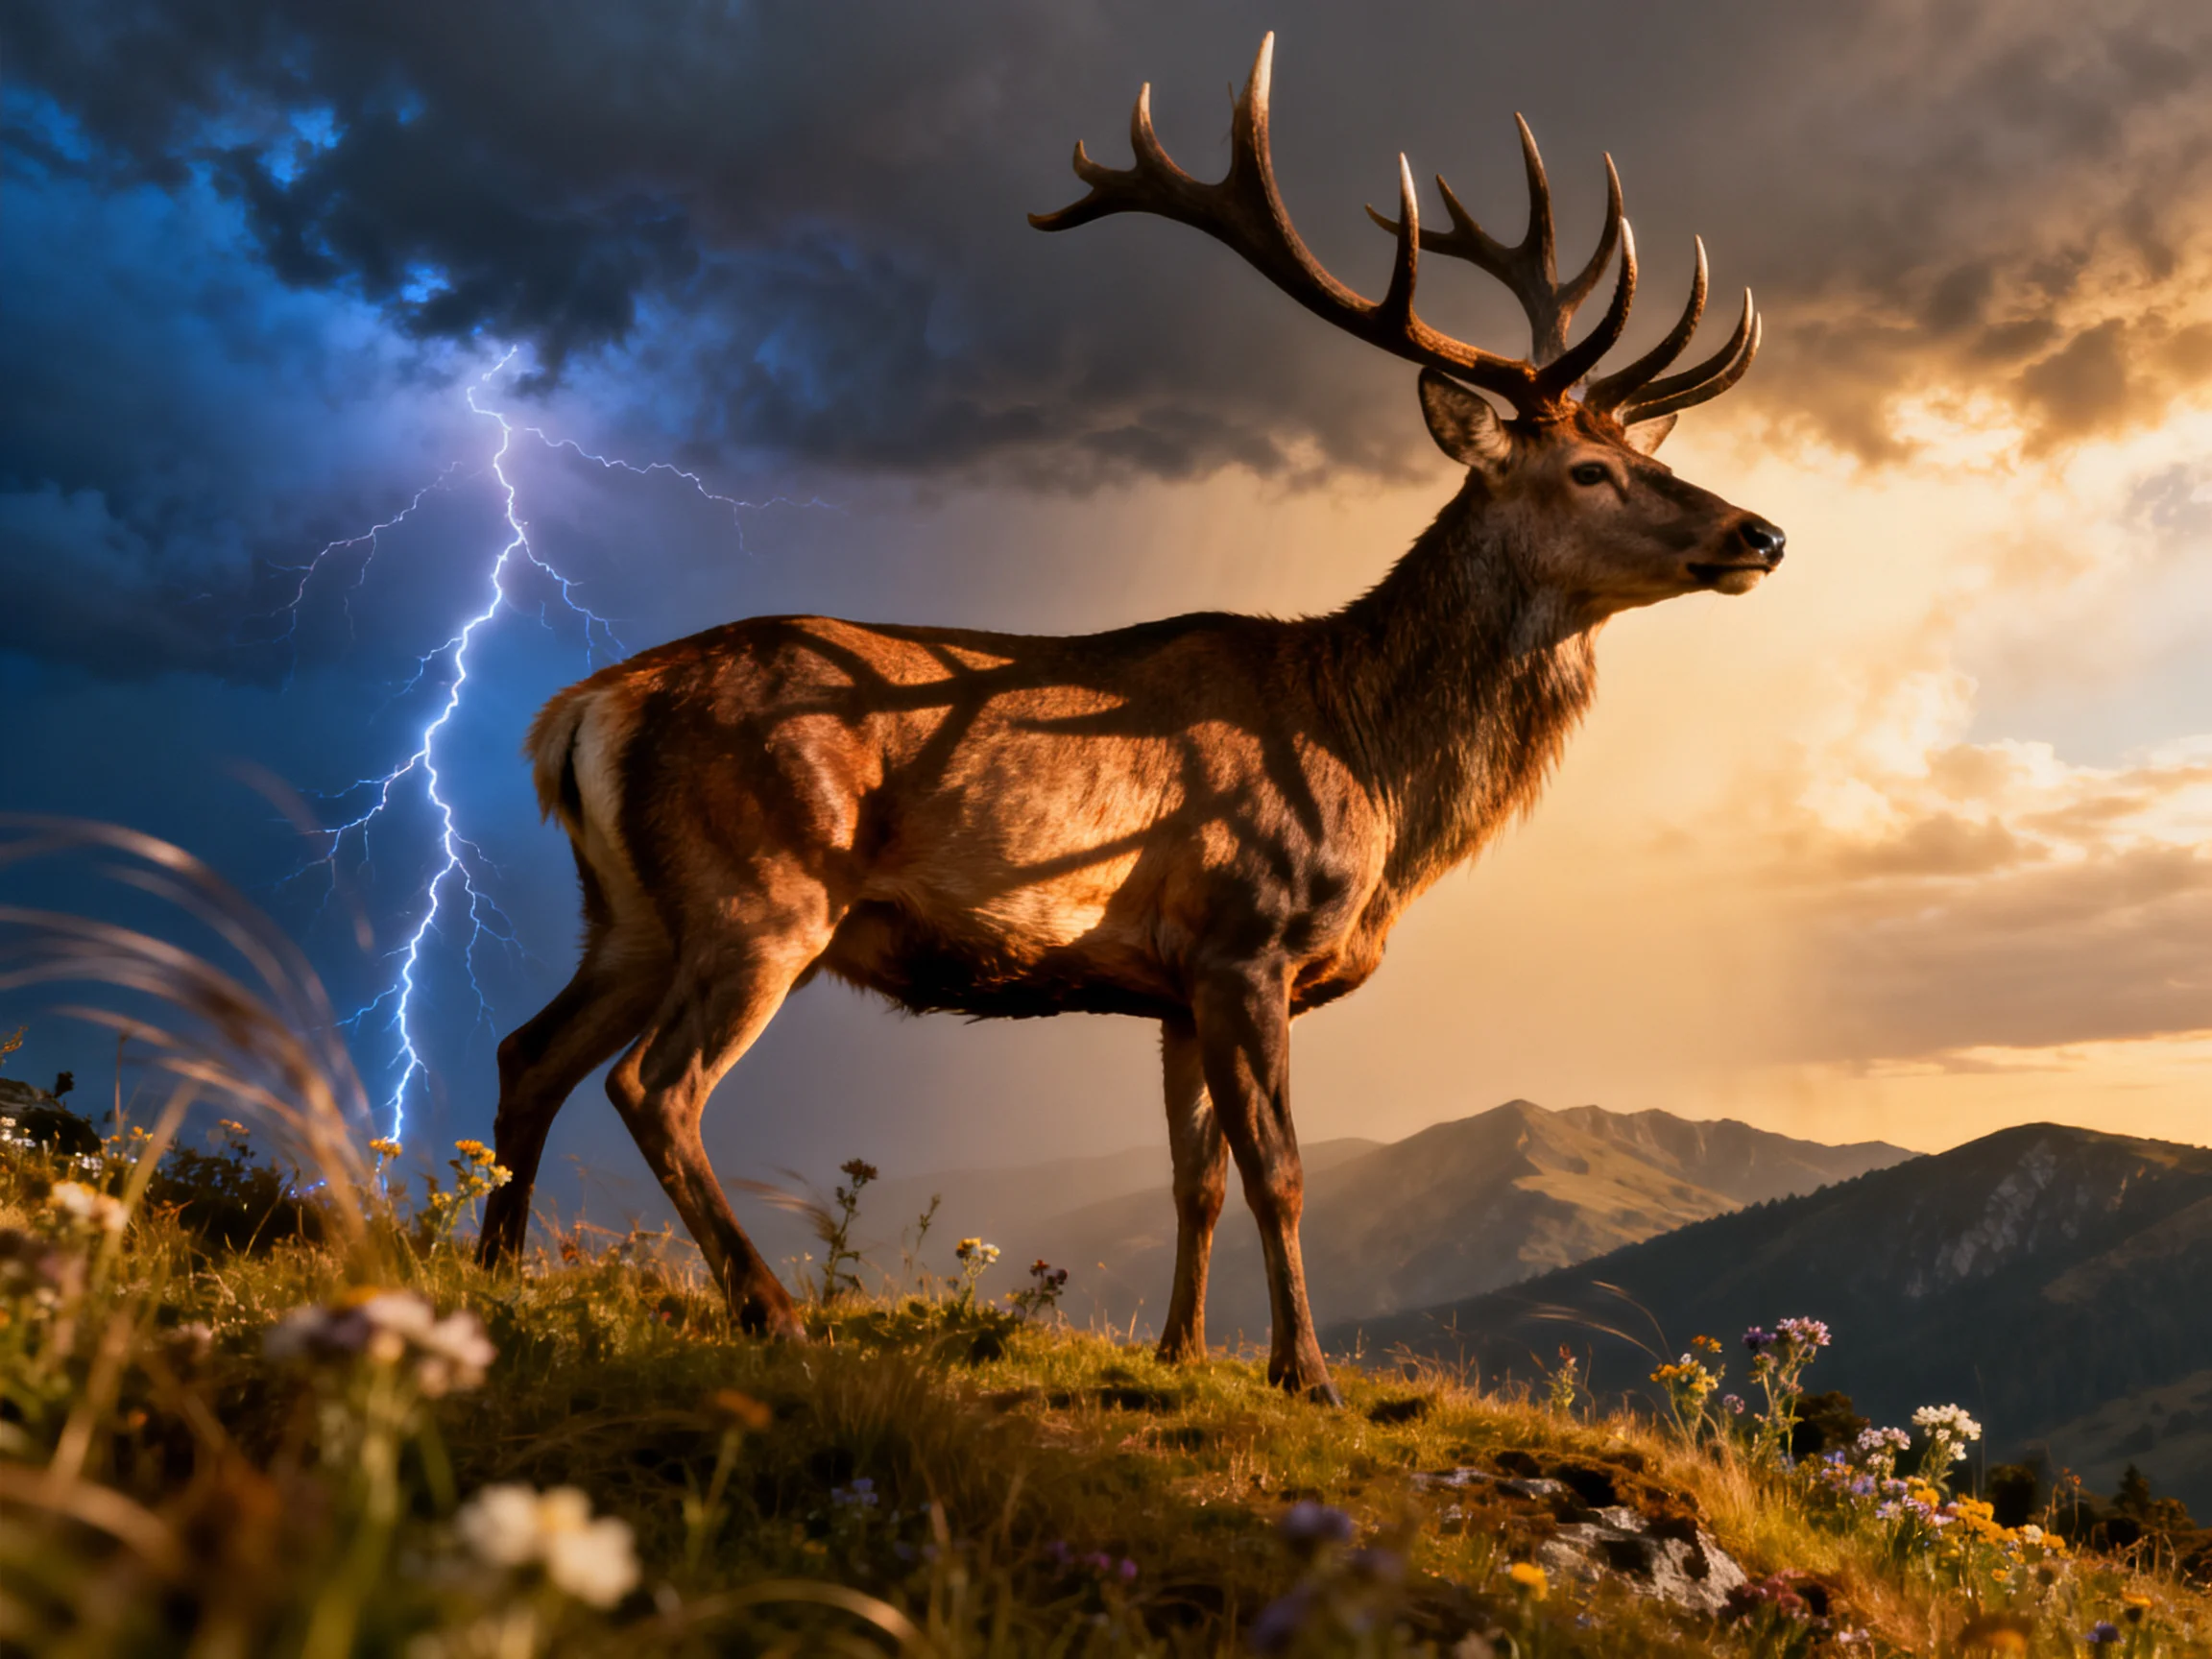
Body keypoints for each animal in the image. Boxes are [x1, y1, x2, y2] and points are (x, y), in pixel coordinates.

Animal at [476, 34, 1782, 1402]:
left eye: (1656, 456)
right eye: (1590, 470)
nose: (1763, 533)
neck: (1371, 771)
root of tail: (582, 711)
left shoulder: (1173, 984)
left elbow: (1193, 1179)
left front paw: (1182, 1352)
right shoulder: (1245, 935)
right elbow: (1280, 1172)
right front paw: (1305, 1375)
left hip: (629, 910)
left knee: (530, 1053)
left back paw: (493, 1276)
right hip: (762, 887)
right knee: (652, 1085)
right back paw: (769, 1313)